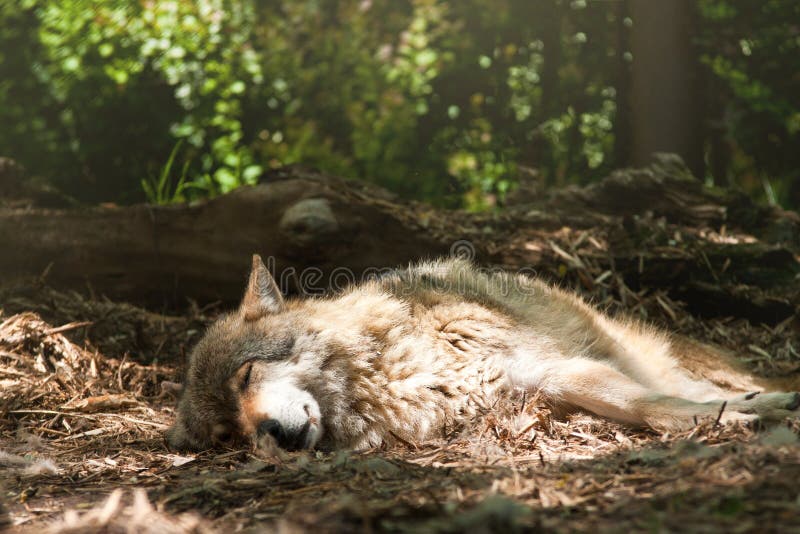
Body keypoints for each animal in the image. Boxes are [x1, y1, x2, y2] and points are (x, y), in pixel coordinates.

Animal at [166, 255, 796, 452]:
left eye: (247, 375)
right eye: (229, 435)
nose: (269, 435)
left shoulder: (551, 370)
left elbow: (649, 408)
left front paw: (739, 419)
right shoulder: (540, 390)